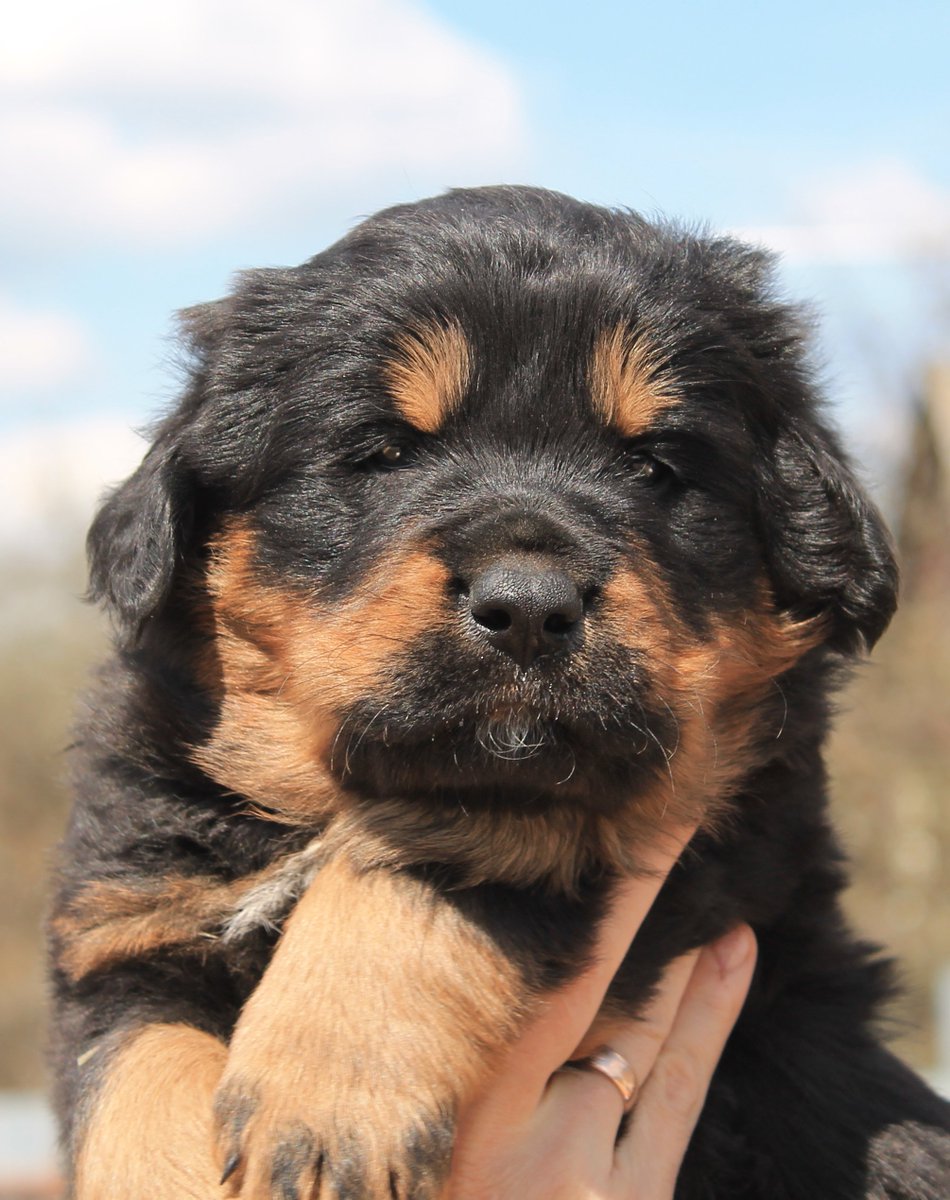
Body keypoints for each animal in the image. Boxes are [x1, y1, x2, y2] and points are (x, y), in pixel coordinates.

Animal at [48, 182, 950, 1195]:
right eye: (383, 452)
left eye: (654, 466)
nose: (527, 607)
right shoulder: (126, 917)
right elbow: (134, 1066)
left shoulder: (696, 830)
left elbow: (431, 858)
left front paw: (325, 1087)